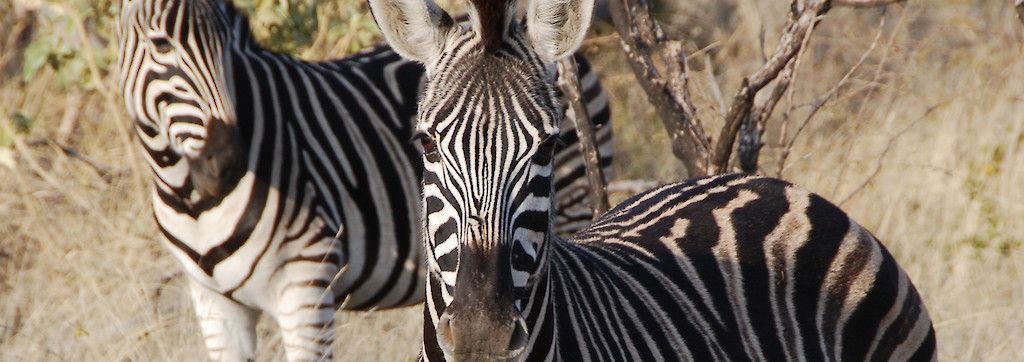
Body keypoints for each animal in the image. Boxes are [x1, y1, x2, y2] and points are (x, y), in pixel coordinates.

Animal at [120, 0, 614, 359]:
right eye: (160, 44)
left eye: (229, 47)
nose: (225, 162)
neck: (192, 199)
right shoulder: (214, 303)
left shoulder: (307, 281)